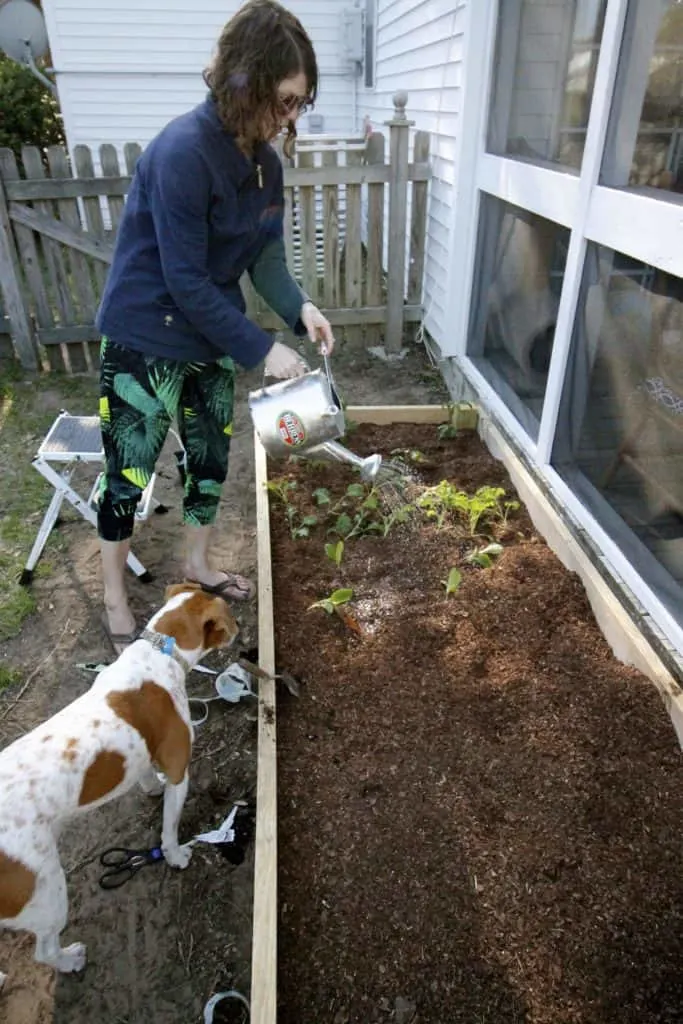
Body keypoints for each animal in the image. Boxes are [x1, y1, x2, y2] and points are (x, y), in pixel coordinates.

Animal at [0, 581, 237, 978]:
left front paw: (151, 789)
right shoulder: (180, 771)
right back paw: (70, 959)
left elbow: (146, 777)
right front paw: (175, 856)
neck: (160, 649)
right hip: (48, 893)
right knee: (45, 951)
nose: (238, 629)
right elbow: (169, 829)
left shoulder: (141, 755)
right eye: (228, 615)